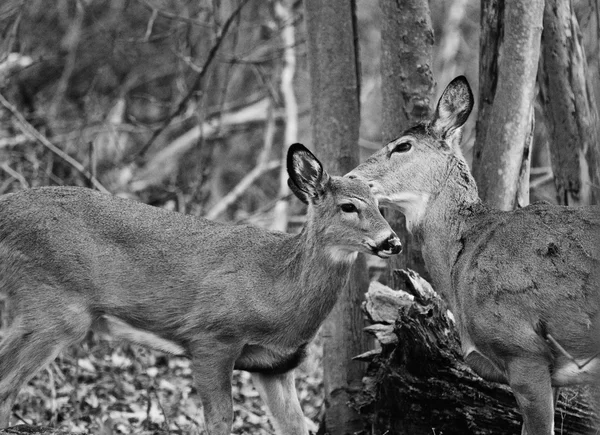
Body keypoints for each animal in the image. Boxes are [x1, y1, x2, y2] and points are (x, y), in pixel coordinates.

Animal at [1, 144, 404, 435]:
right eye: (348, 206)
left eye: (380, 205)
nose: (393, 242)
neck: (276, 289)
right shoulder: (211, 337)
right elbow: (220, 422)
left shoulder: (275, 366)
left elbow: (295, 426)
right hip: (52, 307)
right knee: (6, 386)